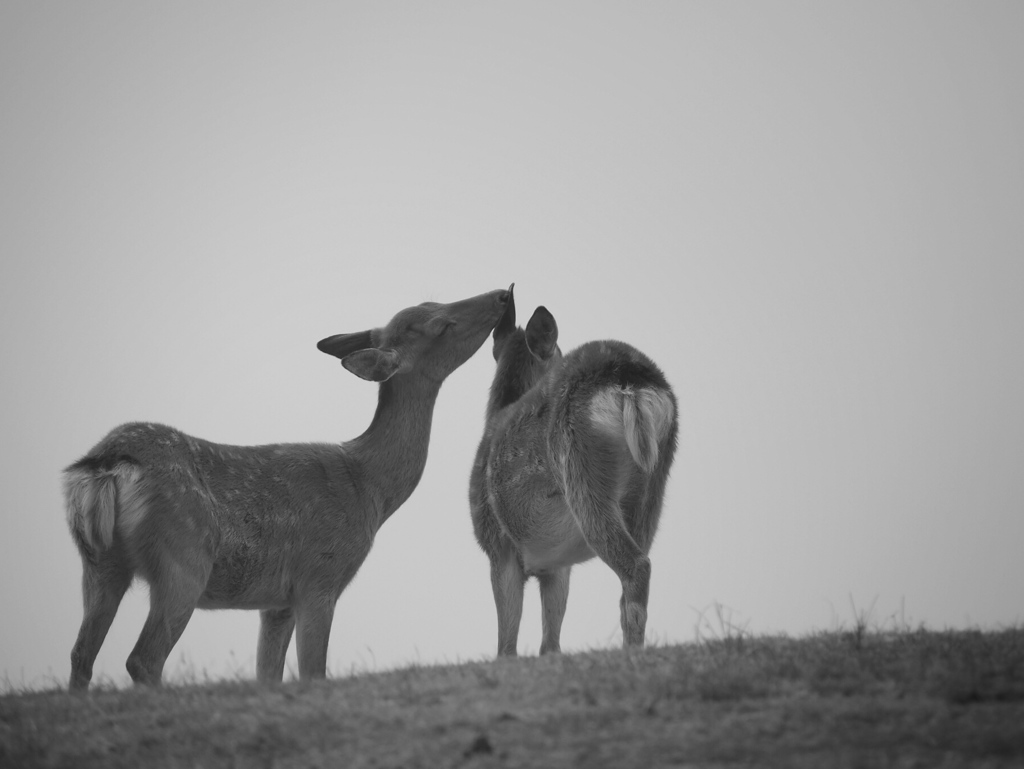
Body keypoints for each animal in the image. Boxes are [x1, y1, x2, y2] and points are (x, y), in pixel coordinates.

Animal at [61, 286, 509, 692]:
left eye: (435, 300)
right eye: (440, 325)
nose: (503, 295)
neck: (371, 490)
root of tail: (108, 460)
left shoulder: (275, 602)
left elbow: (268, 675)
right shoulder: (320, 577)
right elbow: (313, 671)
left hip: (98, 561)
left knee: (81, 654)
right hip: (183, 556)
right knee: (143, 658)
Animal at [468, 286, 675, 659]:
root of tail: (628, 381)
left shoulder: (498, 545)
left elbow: (507, 646)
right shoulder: (556, 565)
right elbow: (551, 644)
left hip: (580, 468)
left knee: (636, 565)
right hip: (653, 480)